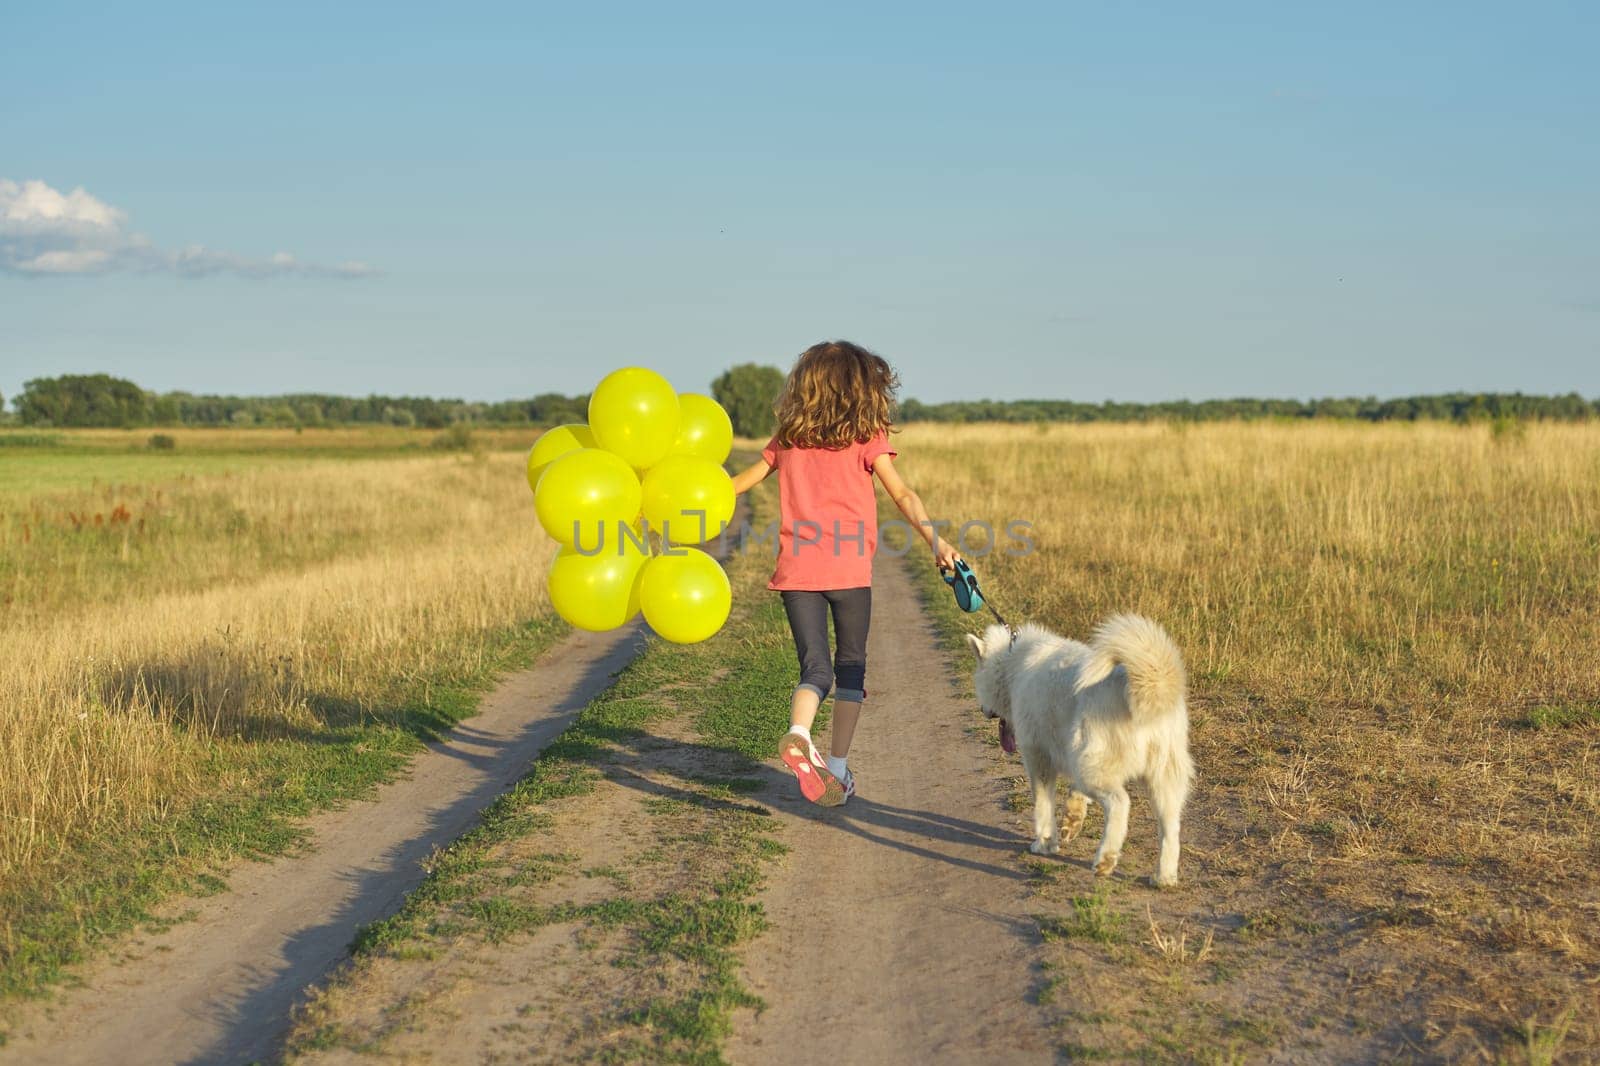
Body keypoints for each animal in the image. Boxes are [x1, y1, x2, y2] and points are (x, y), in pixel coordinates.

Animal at [960, 611, 1190, 883]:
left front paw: (1045, 842)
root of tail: (1150, 683)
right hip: (1161, 779)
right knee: (1170, 828)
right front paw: (1073, 817)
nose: (982, 710)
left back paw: (1106, 858)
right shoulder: (1071, 752)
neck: (1012, 664)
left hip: (1096, 767)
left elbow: (1043, 804)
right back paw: (1164, 877)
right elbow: (1075, 794)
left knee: (1120, 803)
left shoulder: (1039, 757)